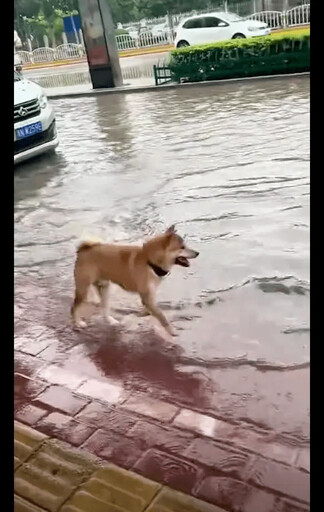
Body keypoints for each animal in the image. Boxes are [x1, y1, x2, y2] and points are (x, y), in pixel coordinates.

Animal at [71, 226, 199, 334]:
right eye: (182, 247)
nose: (197, 253)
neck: (150, 262)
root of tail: (83, 250)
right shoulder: (147, 296)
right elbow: (161, 315)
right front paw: (170, 330)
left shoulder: (150, 295)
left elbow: (151, 309)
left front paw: (144, 313)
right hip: (83, 290)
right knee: (74, 308)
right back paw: (78, 323)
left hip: (105, 288)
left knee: (104, 307)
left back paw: (111, 320)